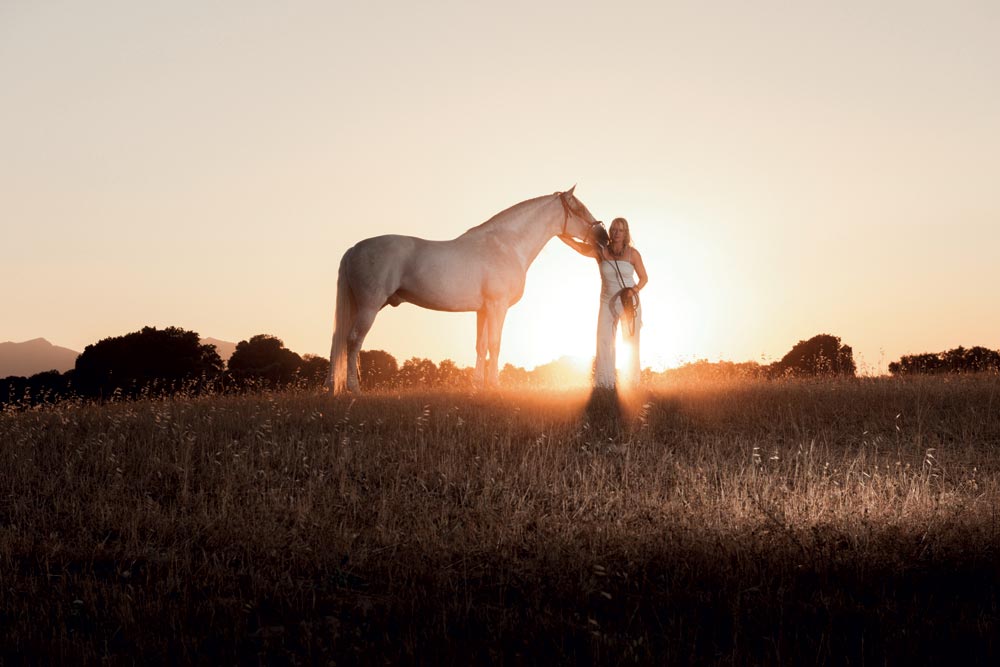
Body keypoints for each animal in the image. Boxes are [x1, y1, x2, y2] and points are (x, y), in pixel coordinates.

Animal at [326, 185, 600, 394]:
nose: (602, 235)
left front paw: (478, 386)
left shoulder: (483, 310)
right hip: (369, 306)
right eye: (579, 209)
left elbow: (481, 346)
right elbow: (495, 344)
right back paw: (353, 388)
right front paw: (495, 386)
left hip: (359, 306)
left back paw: (331, 387)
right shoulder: (497, 306)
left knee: (338, 339)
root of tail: (354, 249)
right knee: (353, 340)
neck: (506, 245)